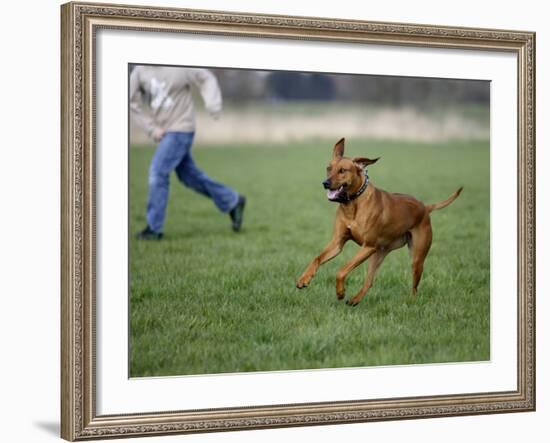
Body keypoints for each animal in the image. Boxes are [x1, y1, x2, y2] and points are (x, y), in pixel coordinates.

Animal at [296, 138, 464, 306]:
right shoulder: (338, 242)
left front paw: (340, 292)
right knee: (369, 281)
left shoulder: (367, 246)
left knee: (414, 286)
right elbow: (317, 258)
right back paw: (355, 300)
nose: (325, 183)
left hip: (416, 257)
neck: (353, 203)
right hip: (378, 253)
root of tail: (425, 207)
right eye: (328, 168)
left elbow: (341, 270)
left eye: (343, 170)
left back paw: (410, 301)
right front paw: (304, 279)